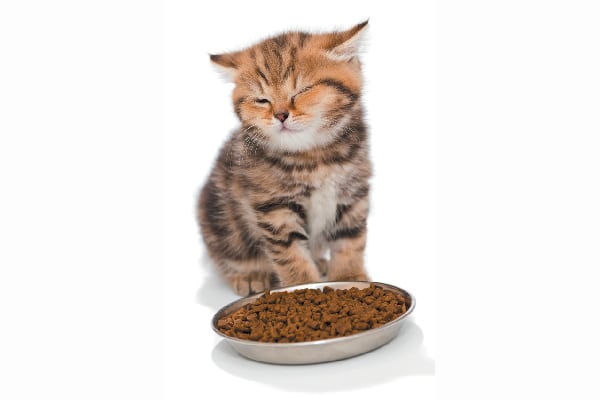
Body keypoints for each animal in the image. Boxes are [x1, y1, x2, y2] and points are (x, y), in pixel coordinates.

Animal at [199, 21, 372, 296]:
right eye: (262, 100)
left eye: (303, 91)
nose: (280, 115)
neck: (314, 157)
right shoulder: (274, 208)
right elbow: (291, 254)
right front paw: (302, 287)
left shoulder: (353, 192)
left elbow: (350, 240)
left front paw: (350, 279)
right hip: (219, 218)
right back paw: (251, 274)